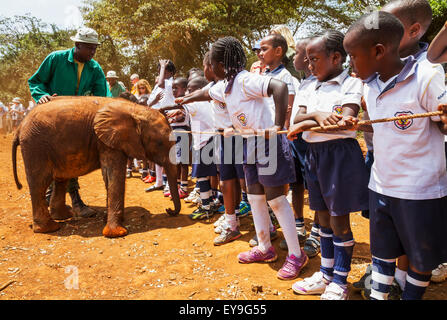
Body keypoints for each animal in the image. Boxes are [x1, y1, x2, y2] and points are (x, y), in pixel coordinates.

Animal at [14, 97, 182, 238]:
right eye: (160, 143)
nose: (169, 210)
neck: (136, 110)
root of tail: (20, 126)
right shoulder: (108, 141)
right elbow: (113, 175)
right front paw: (117, 232)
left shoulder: (109, 141)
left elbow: (109, 176)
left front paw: (109, 220)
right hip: (35, 146)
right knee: (39, 183)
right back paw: (50, 228)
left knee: (60, 179)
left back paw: (63, 216)